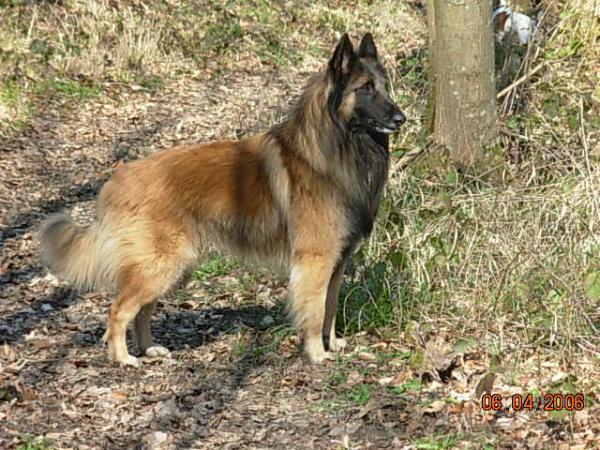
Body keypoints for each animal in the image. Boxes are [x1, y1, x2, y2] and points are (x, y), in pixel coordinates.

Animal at [39, 34, 406, 366]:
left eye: (385, 86)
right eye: (366, 88)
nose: (401, 118)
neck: (337, 147)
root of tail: (115, 181)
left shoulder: (337, 261)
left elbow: (330, 307)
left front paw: (333, 344)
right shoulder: (316, 259)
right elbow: (315, 310)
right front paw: (316, 353)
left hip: (172, 267)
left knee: (142, 310)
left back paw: (148, 348)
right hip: (160, 265)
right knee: (118, 309)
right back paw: (123, 358)